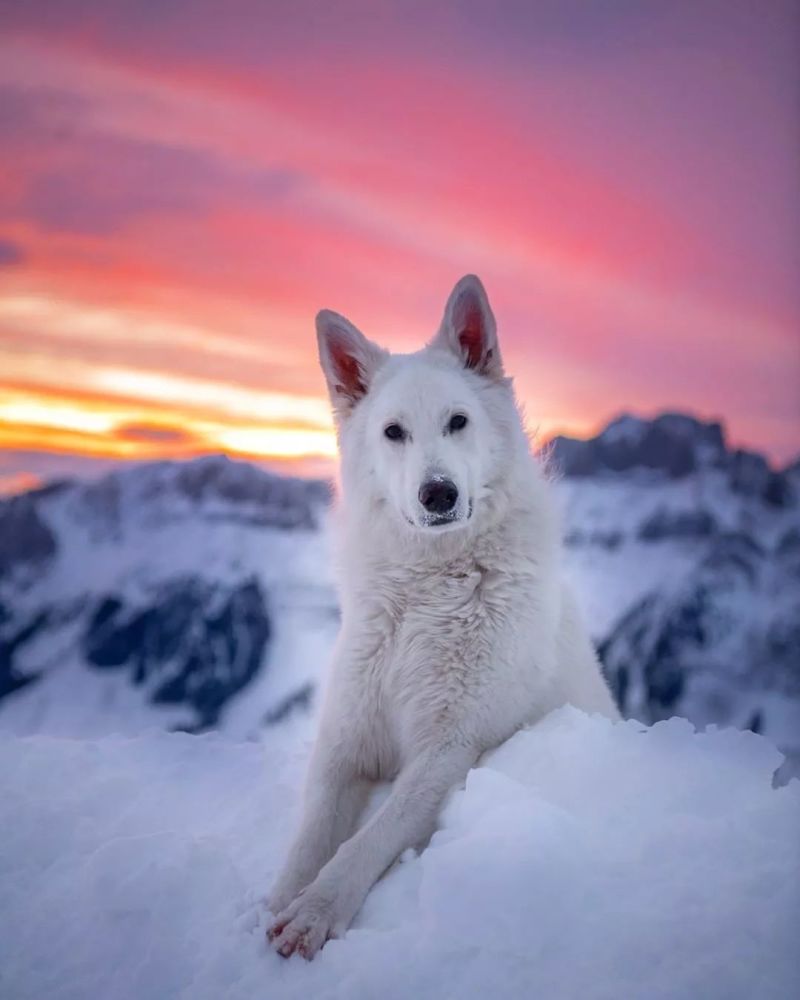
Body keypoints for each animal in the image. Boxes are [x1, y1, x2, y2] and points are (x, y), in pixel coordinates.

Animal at [268, 276, 620, 960]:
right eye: (393, 432)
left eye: (458, 422)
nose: (439, 495)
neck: (426, 592)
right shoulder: (346, 741)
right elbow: (309, 835)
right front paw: (277, 903)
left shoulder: (448, 749)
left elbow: (367, 840)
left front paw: (316, 910)